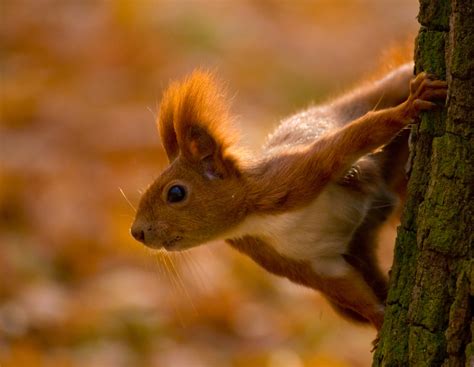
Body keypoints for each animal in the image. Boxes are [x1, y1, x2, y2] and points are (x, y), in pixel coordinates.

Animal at [131, 64, 448, 332]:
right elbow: (348, 290)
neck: (255, 220)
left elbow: (354, 140)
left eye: (175, 193)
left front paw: (408, 109)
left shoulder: (293, 176)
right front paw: (381, 322)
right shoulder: (304, 265)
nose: (137, 232)